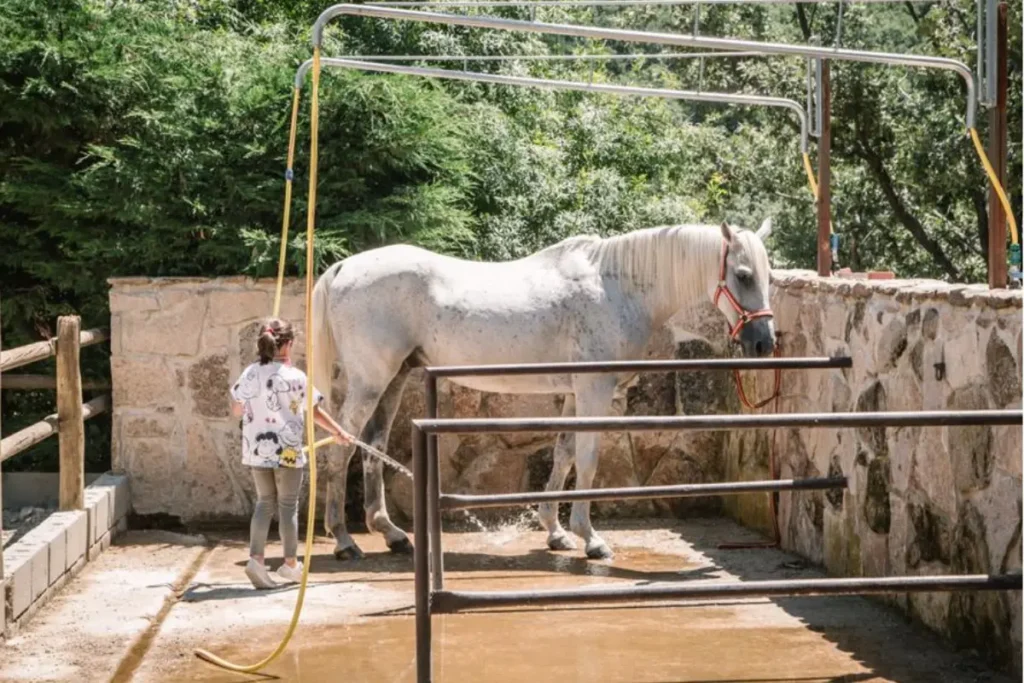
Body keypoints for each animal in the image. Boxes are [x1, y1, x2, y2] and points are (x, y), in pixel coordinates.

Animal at [310, 219, 776, 561]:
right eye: (743, 275)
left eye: (769, 276)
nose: (764, 343)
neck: (617, 286)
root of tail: (344, 268)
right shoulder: (593, 390)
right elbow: (587, 459)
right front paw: (591, 538)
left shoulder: (573, 393)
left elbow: (563, 453)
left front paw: (556, 532)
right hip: (371, 382)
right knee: (340, 450)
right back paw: (344, 541)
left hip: (393, 380)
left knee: (372, 446)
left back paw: (390, 534)